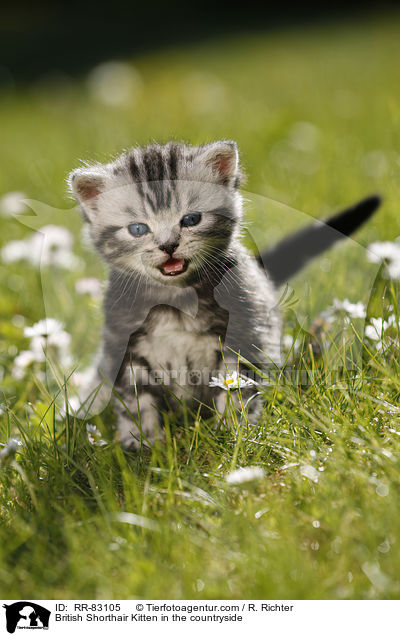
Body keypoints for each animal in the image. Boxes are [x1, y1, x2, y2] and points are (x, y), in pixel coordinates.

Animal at [69, 140, 382, 448]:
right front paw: (144, 447)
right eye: (138, 229)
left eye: (191, 219)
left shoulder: (242, 336)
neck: (177, 300)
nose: (168, 245)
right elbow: (137, 403)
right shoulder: (125, 349)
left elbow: (236, 391)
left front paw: (234, 437)